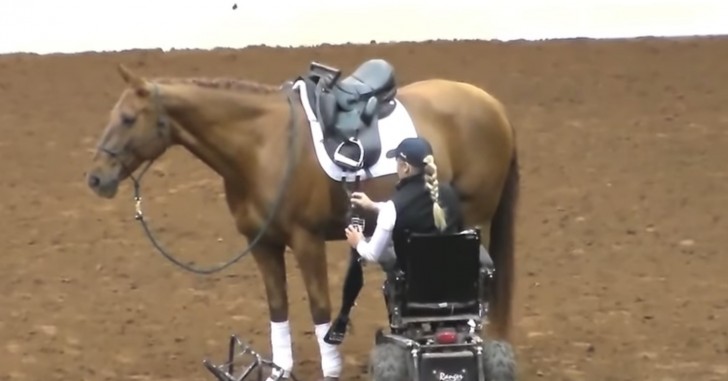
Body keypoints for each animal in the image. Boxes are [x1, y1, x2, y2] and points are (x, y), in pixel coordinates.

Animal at [85, 60, 516, 378]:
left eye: (128, 118)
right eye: (113, 115)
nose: (96, 179)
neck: (262, 144)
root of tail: (493, 105)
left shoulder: (306, 240)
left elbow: (321, 308)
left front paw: (331, 369)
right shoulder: (261, 242)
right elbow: (278, 306)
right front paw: (278, 369)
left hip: (474, 221)